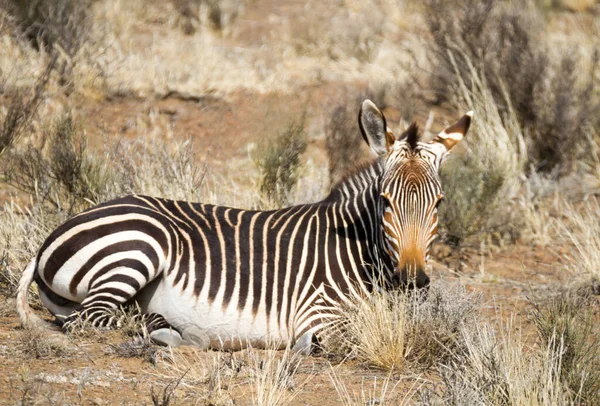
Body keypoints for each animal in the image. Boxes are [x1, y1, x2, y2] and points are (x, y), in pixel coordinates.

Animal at [16, 100, 472, 352]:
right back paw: (175, 334)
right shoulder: (317, 313)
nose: (412, 280)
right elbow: (345, 338)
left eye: (438, 204)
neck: (354, 247)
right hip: (138, 246)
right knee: (92, 319)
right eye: (385, 202)